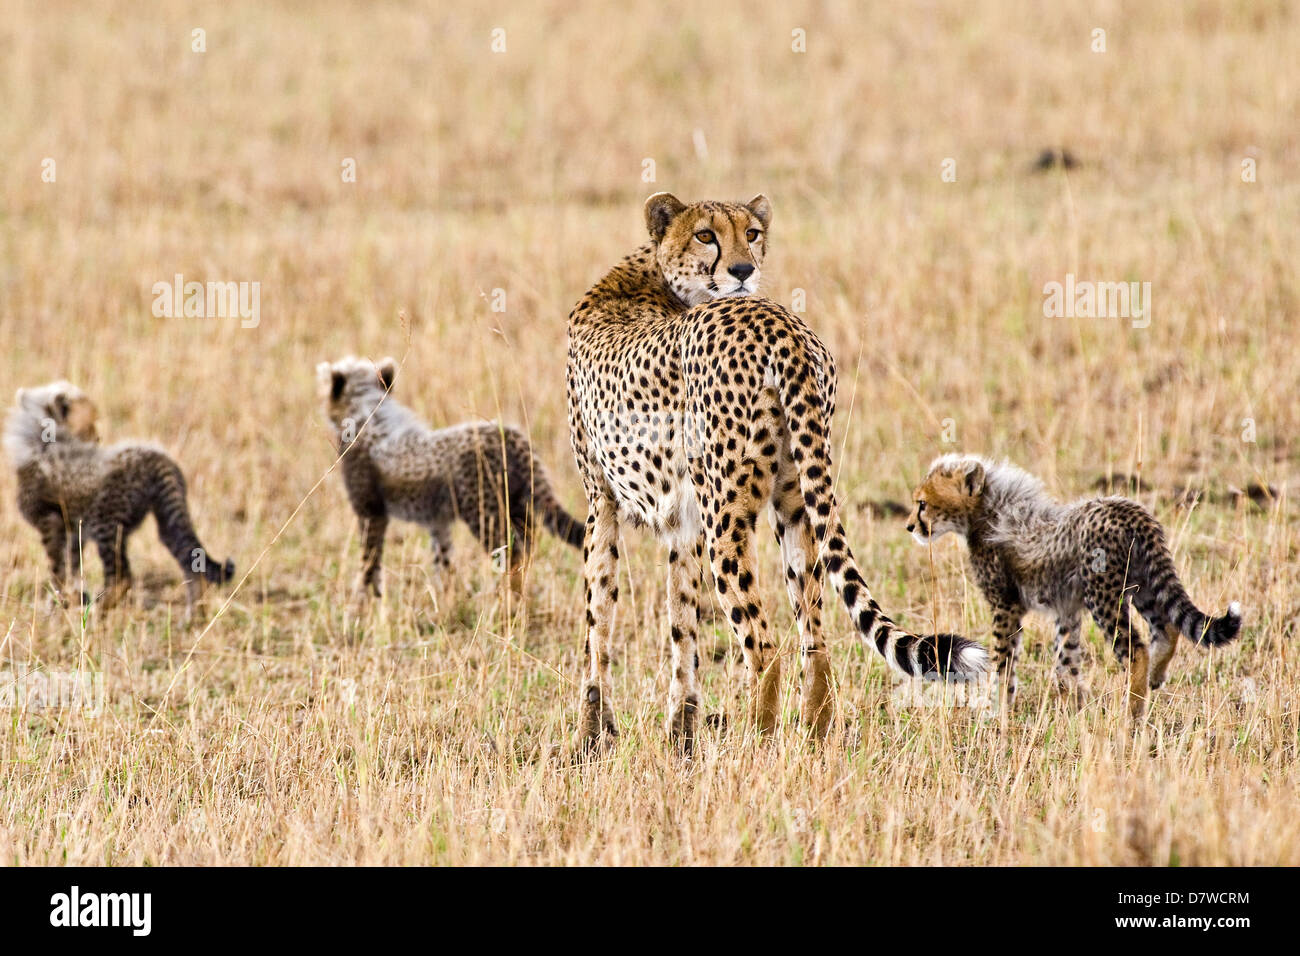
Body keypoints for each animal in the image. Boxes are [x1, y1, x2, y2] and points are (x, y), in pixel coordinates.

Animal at [566, 191, 982, 749]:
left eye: (752, 233)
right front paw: (680, 735)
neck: (651, 276)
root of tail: (779, 322)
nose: (743, 270)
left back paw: (755, 745)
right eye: (705, 234)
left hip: (727, 515)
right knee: (814, 637)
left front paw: (594, 734)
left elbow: (599, 620)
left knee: (763, 647)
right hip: (796, 500)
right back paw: (817, 737)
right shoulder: (681, 522)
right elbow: (682, 624)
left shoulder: (603, 504)